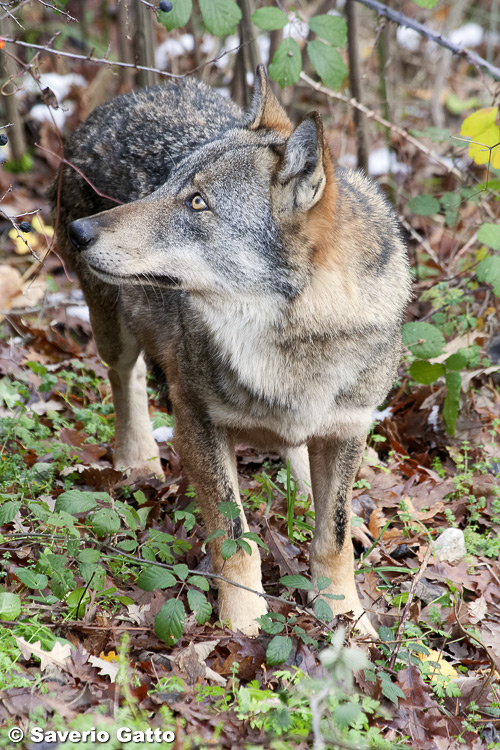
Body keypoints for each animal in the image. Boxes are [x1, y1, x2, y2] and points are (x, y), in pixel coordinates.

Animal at [51, 67, 410, 636]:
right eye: (166, 185)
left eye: (197, 202)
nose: (80, 232)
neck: (293, 343)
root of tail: (129, 95)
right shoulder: (197, 422)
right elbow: (236, 539)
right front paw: (244, 626)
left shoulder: (349, 429)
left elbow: (330, 540)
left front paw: (348, 622)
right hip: (113, 328)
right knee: (126, 378)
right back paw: (140, 463)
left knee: (303, 460)